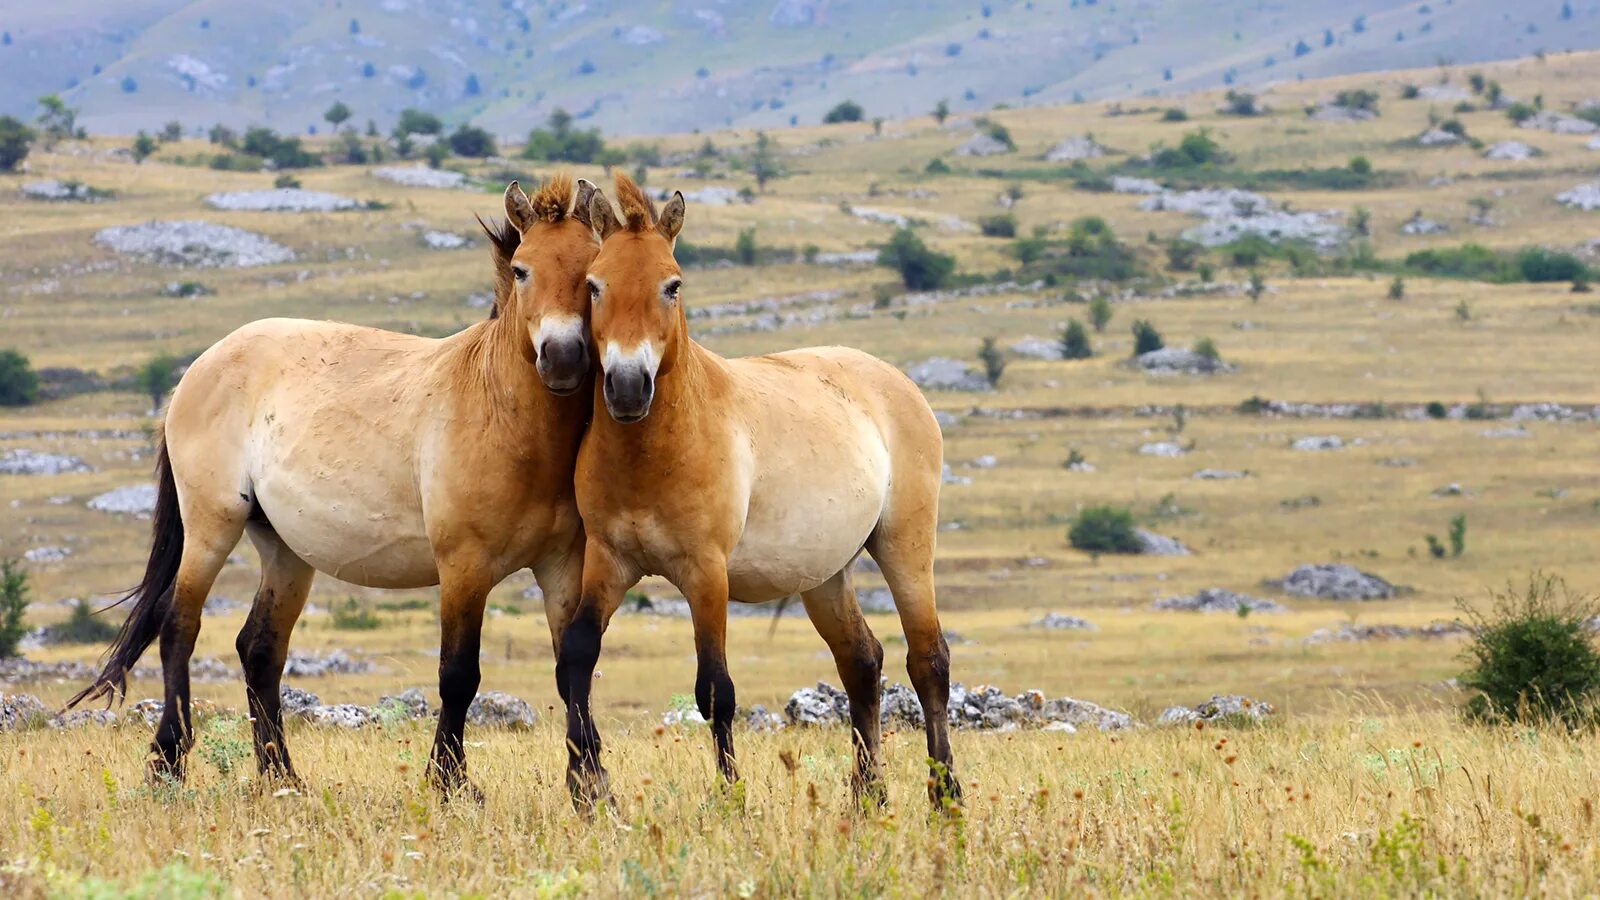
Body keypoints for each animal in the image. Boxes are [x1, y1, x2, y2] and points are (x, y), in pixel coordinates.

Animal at [64, 175, 604, 791]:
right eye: (521, 269)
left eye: (592, 272)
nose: (562, 358)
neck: (503, 414)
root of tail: (199, 368)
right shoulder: (463, 567)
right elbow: (459, 675)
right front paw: (451, 784)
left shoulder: (561, 566)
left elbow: (572, 668)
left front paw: (591, 786)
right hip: (212, 526)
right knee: (180, 625)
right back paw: (168, 764)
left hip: (284, 549)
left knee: (259, 649)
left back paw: (280, 775)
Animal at [560, 173, 960, 807]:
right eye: (594, 286)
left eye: (672, 285)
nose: (626, 387)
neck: (654, 453)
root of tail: (897, 381)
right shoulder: (610, 561)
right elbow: (577, 654)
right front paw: (585, 789)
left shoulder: (706, 574)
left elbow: (714, 690)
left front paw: (731, 797)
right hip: (825, 574)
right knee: (861, 661)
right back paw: (867, 796)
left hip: (905, 546)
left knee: (928, 662)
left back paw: (945, 796)